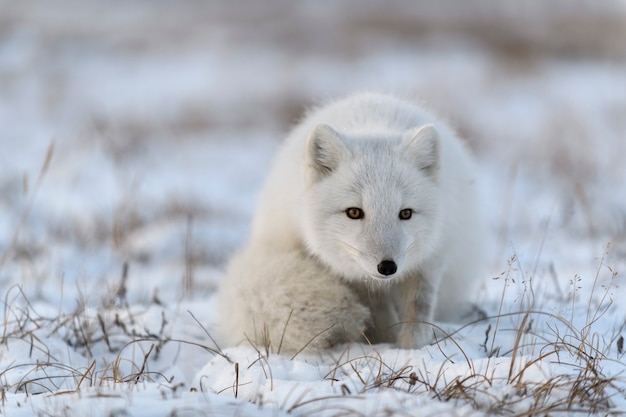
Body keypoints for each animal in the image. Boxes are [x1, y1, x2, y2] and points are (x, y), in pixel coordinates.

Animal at [217, 92, 486, 352]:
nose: (387, 267)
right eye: (354, 212)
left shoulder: (430, 260)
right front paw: (387, 345)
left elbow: (417, 313)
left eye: (405, 213)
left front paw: (413, 350)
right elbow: (379, 314)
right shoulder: (354, 279)